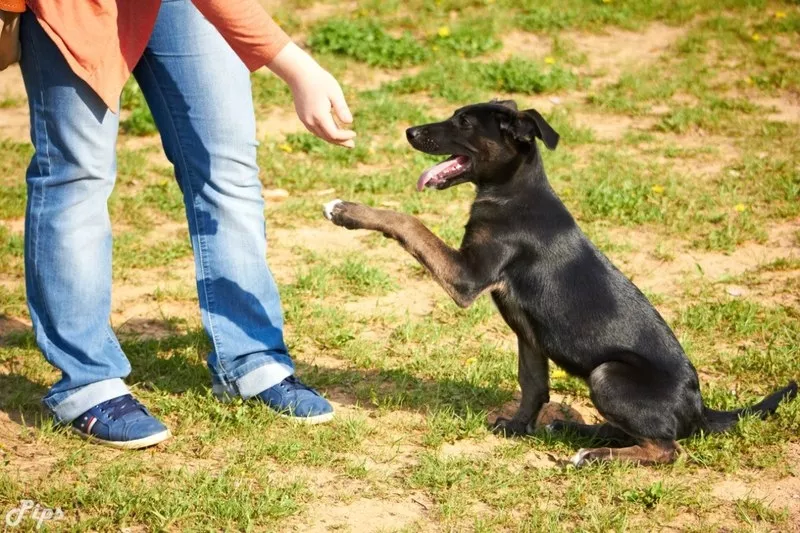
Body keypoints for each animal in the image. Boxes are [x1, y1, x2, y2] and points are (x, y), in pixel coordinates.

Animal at [322, 100, 796, 466]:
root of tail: (700, 410)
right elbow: (533, 384)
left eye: (463, 123)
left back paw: (595, 455)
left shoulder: (466, 277)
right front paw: (517, 427)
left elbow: (410, 223)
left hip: (608, 374)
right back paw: (575, 430)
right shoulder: (529, 337)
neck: (513, 193)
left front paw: (346, 210)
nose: (410, 131)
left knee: (665, 447)